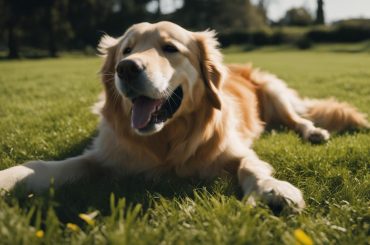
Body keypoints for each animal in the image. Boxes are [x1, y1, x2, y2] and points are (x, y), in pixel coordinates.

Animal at [0, 21, 370, 212]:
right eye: (126, 50)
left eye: (170, 49)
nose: (126, 68)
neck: (166, 141)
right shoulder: (104, 157)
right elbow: (46, 167)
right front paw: (9, 177)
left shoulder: (235, 150)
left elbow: (250, 166)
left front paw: (273, 190)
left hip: (274, 91)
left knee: (298, 118)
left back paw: (314, 132)